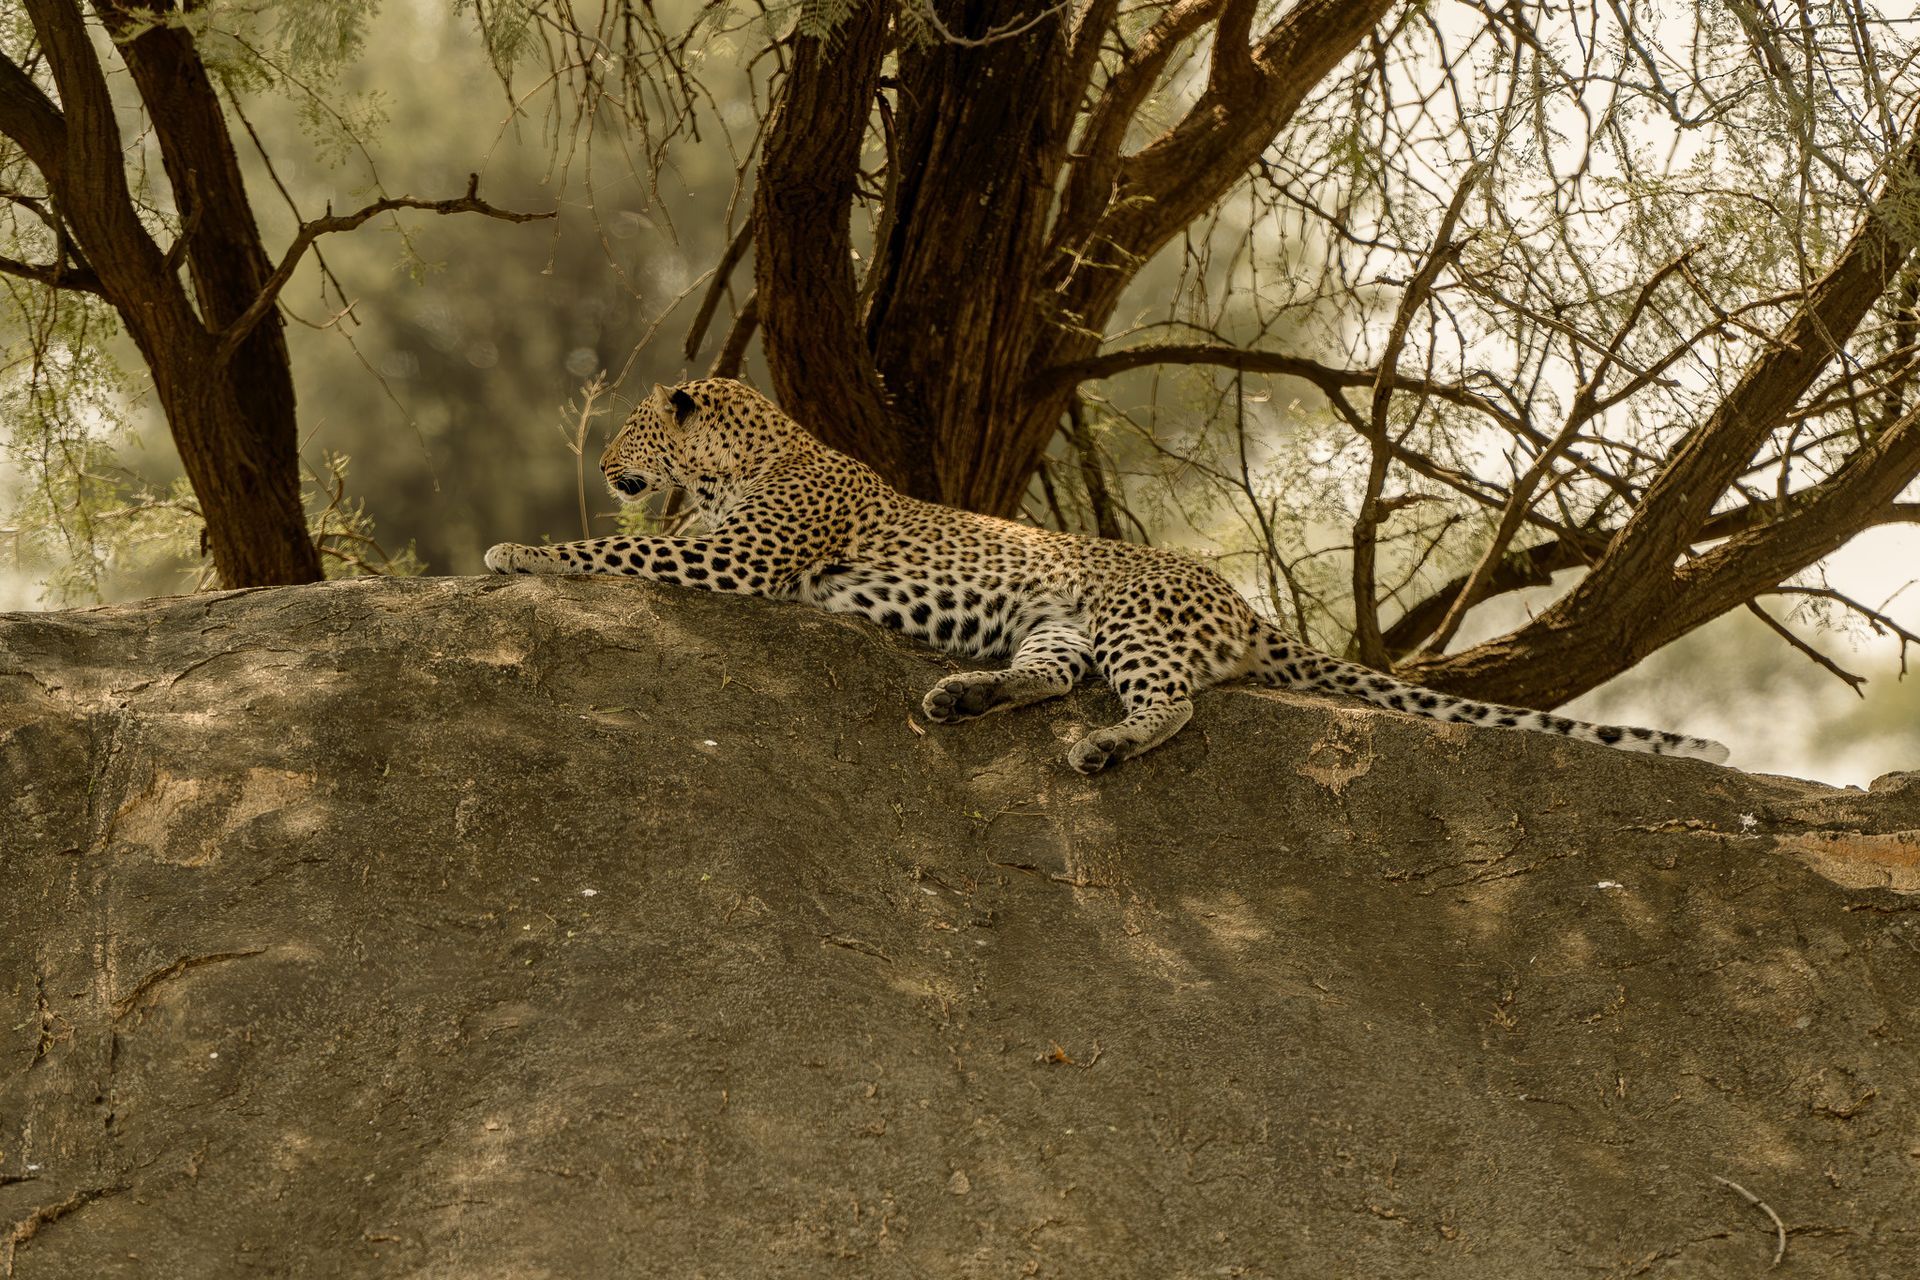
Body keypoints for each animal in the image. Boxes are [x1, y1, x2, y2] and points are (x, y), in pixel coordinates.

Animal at [484, 377, 1730, 774]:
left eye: (631, 428)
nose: (605, 462)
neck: (746, 454)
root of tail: (1244, 600)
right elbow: (628, 543)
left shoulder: (740, 554)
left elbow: (618, 549)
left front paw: (514, 548)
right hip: (1057, 623)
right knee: (1045, 676)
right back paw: (960, 695)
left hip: (1134, 626)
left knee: (1172, 706)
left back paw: (1102, 749)